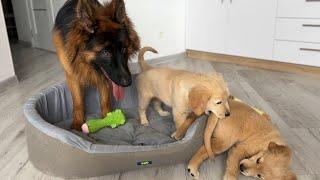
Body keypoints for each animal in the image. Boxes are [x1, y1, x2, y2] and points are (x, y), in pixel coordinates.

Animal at [52, 0, 140, 130]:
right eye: (105, 52)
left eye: (124, 49)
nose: (128, 83)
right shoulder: (72, 74)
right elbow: (77, 101)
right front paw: (77, 125)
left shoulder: (105, 77)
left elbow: (105, 99)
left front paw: (108, 117)